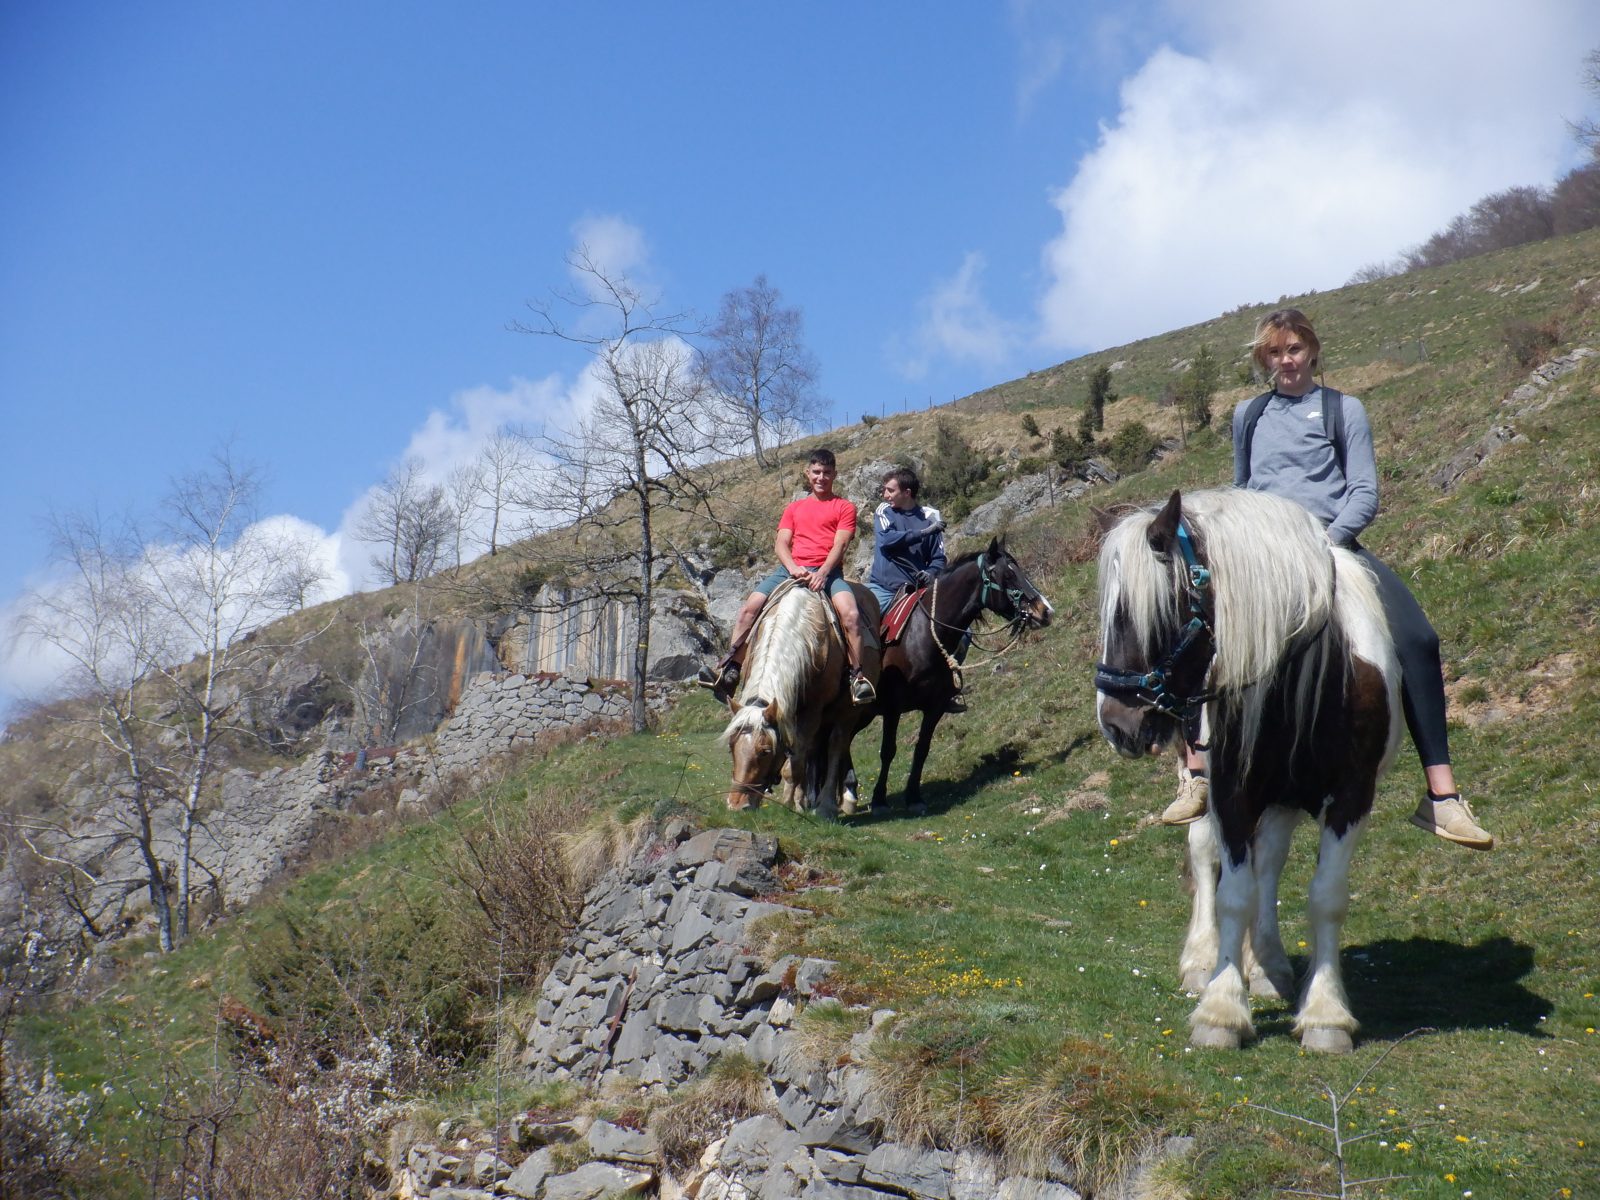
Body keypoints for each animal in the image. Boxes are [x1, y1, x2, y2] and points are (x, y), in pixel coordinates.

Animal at [720, 580, 880, 818]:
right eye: (731, 747)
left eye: (765, 751)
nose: (737, 805)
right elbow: (800, 755)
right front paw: (796, 801)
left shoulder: (812, 710)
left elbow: (795, 762)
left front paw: (788, 804)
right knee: (813, 749)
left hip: (848, 712)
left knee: (836, 745)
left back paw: (827, 805)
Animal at [867, 538, 1053, 812]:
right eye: (1008, 575)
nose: (1045, 611)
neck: (923, 633)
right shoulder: (892, 707)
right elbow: (888, 750)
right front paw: (879, 800)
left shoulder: (935, 707)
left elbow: (922, 749)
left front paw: (914, 797)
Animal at [1094, 489, 1400, 1053]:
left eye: (1138, 614)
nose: (1114, 723)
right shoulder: (1231, 791)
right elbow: (1233, 895)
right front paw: (1221, 1009)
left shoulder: (1351, 796)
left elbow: (1325, 897)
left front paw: (1325, 1014)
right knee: (1206, 852)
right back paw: (1203, 959)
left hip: (1282, 798)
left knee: (1269, 865)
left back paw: (1268, 965)